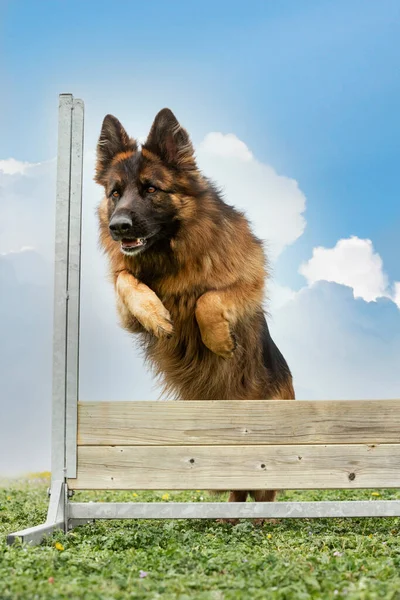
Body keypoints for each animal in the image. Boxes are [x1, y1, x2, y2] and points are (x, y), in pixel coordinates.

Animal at [94, 109, 294, 506]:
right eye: (114, 193)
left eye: (151, 189)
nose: (117, 227)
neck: (169, 255)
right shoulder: (125, 304)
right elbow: (126, 280)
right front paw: (156, 315)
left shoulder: (248, 284)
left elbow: (207, 298)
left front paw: (219, 341)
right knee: (239, 492)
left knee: (264, 496)